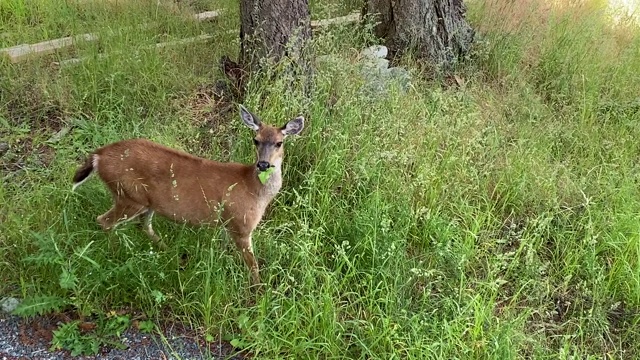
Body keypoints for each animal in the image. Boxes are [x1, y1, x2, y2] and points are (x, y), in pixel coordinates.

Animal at [70, 105, 304, 286]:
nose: (263, 164)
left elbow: (225, 250)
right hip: (128, 195)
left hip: (143, 201)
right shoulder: (242, 224)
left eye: (279, 142)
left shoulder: (226, 223)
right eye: (255, 140)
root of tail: (98, 155)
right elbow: (252, 265)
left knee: (143, 226)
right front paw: (258, 290)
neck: (254, 189)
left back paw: (171, 254)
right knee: (104, 221)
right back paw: (116, 253)